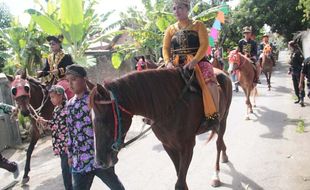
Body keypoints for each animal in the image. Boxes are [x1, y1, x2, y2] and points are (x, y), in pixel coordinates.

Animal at [88, 68, 231, 189]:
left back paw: (216, 174)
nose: (99, 162)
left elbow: (180, 184)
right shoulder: (168, 146)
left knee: (218, 143)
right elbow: (180, 178)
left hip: (223, 119)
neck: (168, 106)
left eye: (105, 120)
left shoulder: (187, 146)